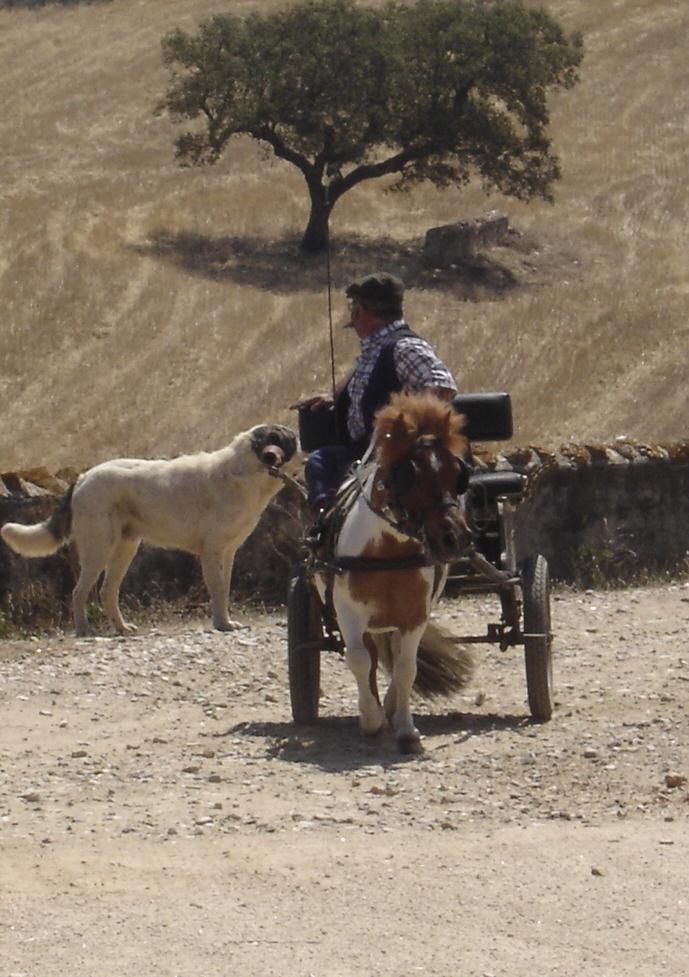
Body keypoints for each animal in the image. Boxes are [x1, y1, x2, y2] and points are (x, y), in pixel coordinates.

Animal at [2, 424, 298, 636]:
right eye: (280, 438)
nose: (293, 443)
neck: (249, 469)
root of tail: (83, 477)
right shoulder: (212, 550)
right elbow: (217, 587)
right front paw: (221, 624)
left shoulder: (227, 552)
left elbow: (224, 588)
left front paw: (226, 621)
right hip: (99, 549)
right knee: (80, 592)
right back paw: (84, 630)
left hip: (125, 549)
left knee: (107, 591)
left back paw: (121, 628)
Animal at [316, 390, 472, 756]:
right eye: (411, 475)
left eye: (457, 473)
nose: (454, 537)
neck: (386, 552)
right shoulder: (348, 613)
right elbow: (359, 660)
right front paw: (371, 721)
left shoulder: (414, 616)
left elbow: (405, 668)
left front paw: (407, 729)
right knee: (370, 658)